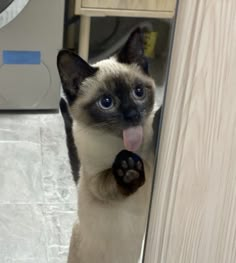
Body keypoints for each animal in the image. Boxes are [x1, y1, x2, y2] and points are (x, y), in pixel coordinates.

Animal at [57, 28, 162, 263]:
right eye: (106, 103)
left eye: (138, 92)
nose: (132, 115)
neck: (126, 144)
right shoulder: (96, 180)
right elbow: (111, 177)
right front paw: (129, 170)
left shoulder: (151, 159)